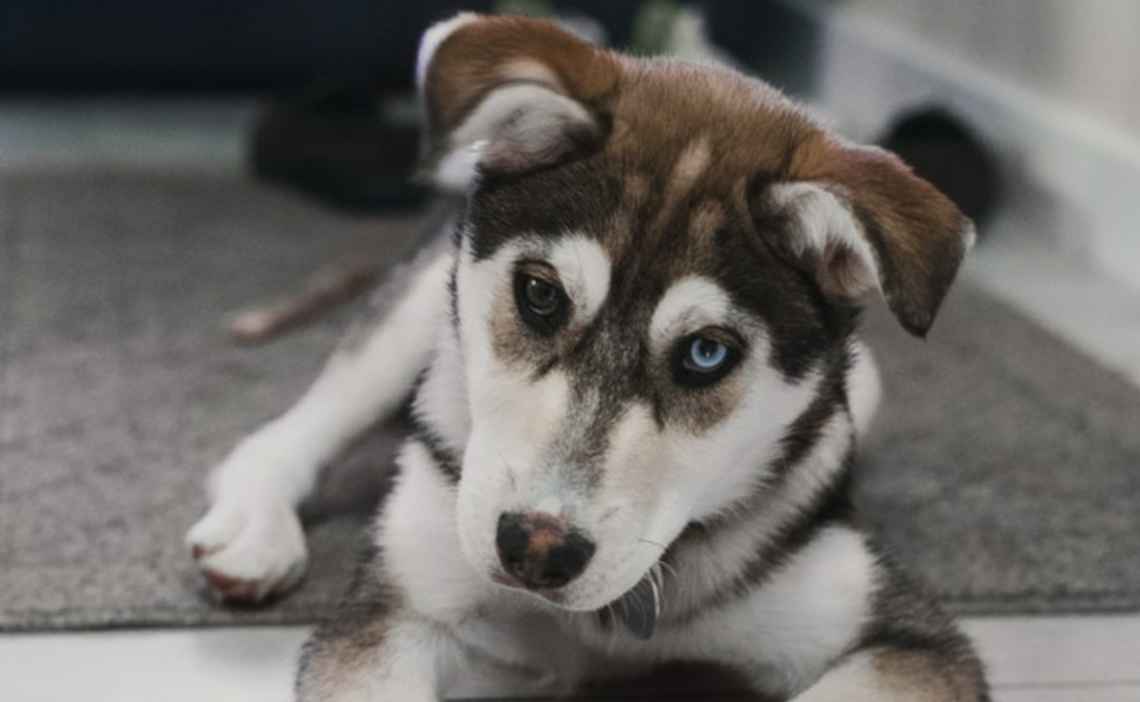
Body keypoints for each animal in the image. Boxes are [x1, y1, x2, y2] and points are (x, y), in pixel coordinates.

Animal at [186, 13, 989, 697]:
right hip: (415, 322)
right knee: (287, 433)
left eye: (707, 352)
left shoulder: (899, 633)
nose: (536, 550)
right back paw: (255, 528)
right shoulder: (397, 608)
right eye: (540, 294)